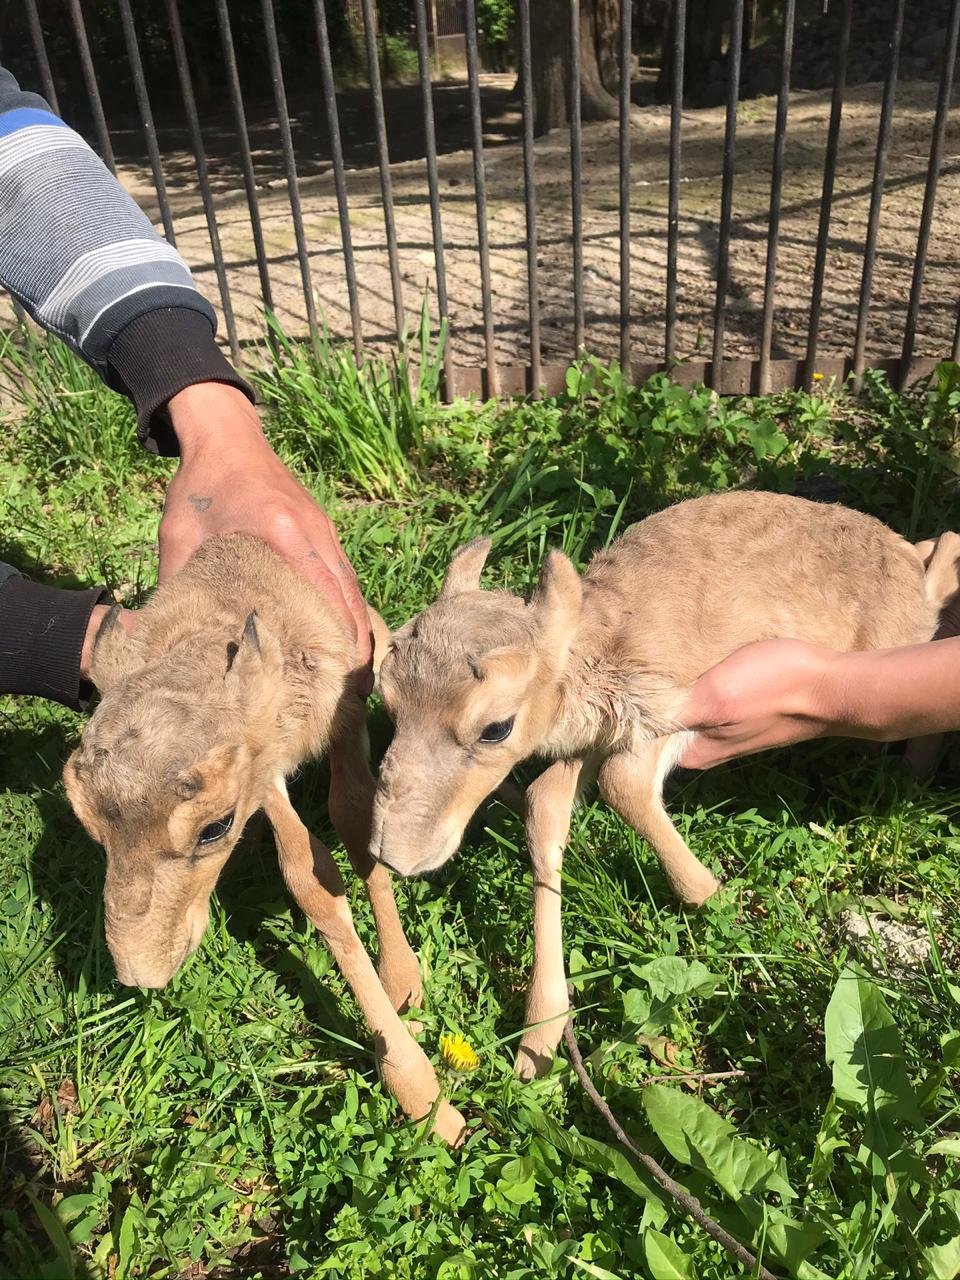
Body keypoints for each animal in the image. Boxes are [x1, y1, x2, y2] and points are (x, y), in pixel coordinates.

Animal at [371, 488, 960, 1080]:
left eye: (496, 727)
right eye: (389, 701)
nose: (393, 855)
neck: (596, 650)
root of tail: (892, 545)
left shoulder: (670, 710)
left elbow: (622, 785)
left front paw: (709, 892)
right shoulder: (593, 740)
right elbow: (546, 806)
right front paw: (540, 1035)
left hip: (893, 637)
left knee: (937, 582)